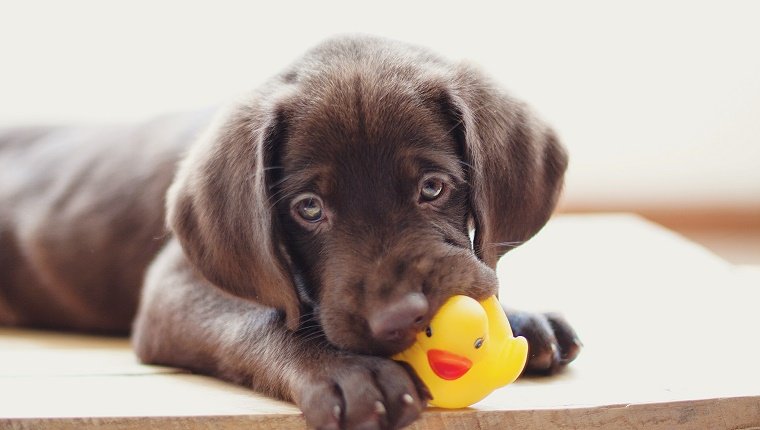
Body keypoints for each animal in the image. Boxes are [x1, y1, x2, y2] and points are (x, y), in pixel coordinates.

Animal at [1, 35, 580, 428]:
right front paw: (349, 370)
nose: (401, 318)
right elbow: (263, 319)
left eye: (433, 187)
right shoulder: (176, 286)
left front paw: (524, 318)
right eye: (309, 208)